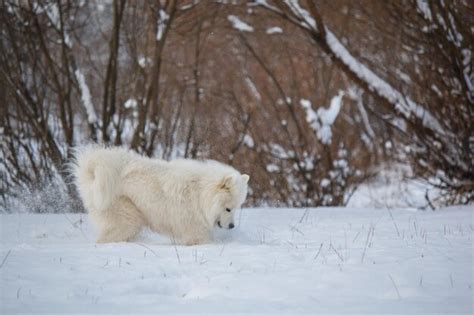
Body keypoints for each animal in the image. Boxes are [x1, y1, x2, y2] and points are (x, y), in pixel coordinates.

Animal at [72, 147, 250, 246]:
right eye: (228, 209)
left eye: (236, 208)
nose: (232, 226)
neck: (200, 193)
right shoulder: (195, 230)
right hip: (128, 219)